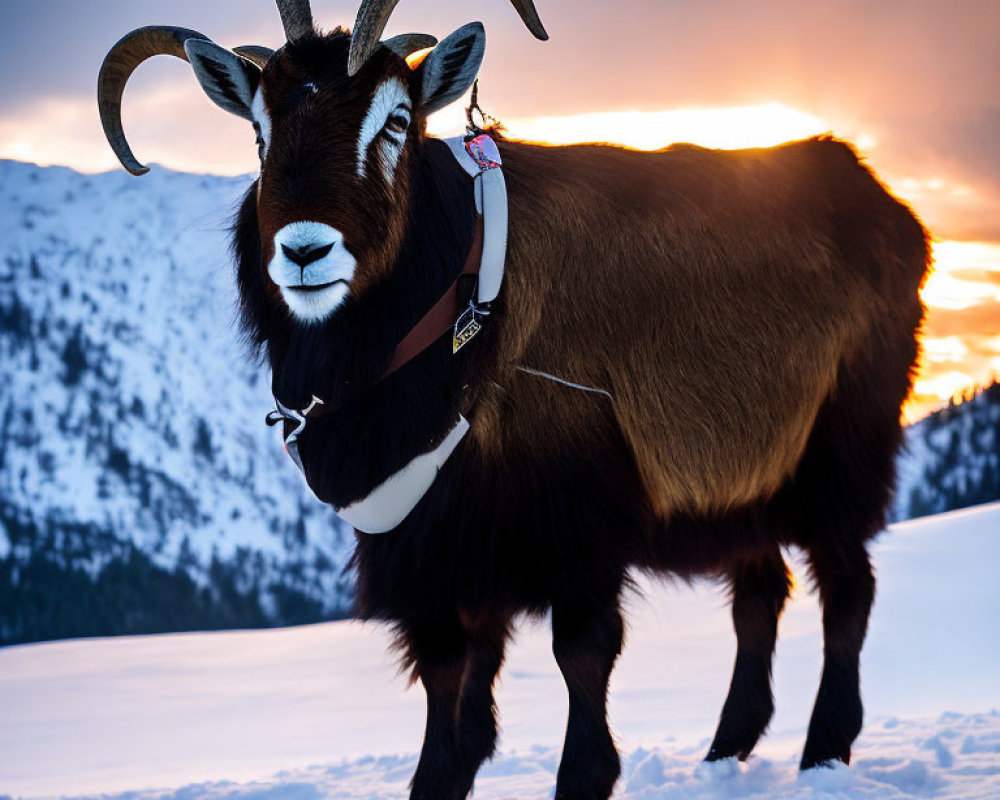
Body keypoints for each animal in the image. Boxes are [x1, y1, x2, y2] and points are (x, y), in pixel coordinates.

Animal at [97, 3, 924, 796]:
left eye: (397, 121)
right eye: (259, 130)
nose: (304, 251)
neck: (459, 315)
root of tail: (879, 198)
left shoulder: (576, 513)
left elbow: (582, 653)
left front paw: (586, 773)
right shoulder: (435, 542)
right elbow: (449, 683)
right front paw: (446, 770)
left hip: (843, 443)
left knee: (848, 586)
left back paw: (825, 749)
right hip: (740, 478)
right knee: (759, 592)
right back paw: (727, 749)